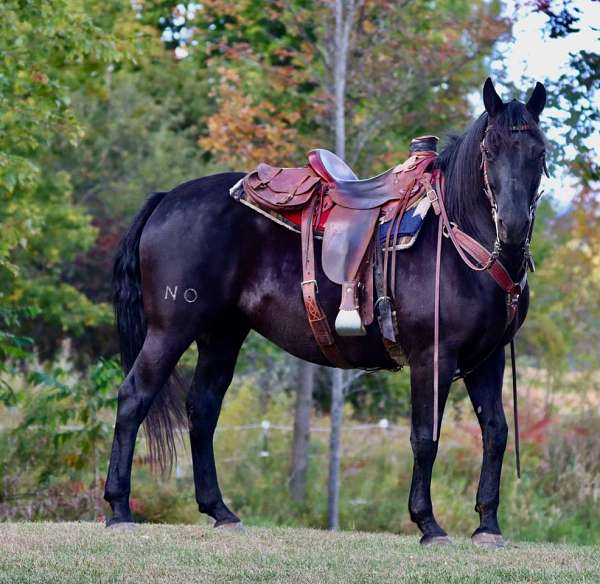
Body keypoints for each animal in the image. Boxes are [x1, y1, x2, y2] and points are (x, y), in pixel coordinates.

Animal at [104, 80, 548, 544]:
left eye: (539, 152)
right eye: (490, 150)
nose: (513, 227)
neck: (454, 236)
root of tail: (166, 199)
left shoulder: (487, 359)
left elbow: (496, 432)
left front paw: (488, 525)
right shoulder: (433, 357)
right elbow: (425, 438)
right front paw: (428, 523)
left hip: (222, 335)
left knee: (202, 409)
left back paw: (220, 511)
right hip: (170, 330)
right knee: (134, 397)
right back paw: (119, 508)